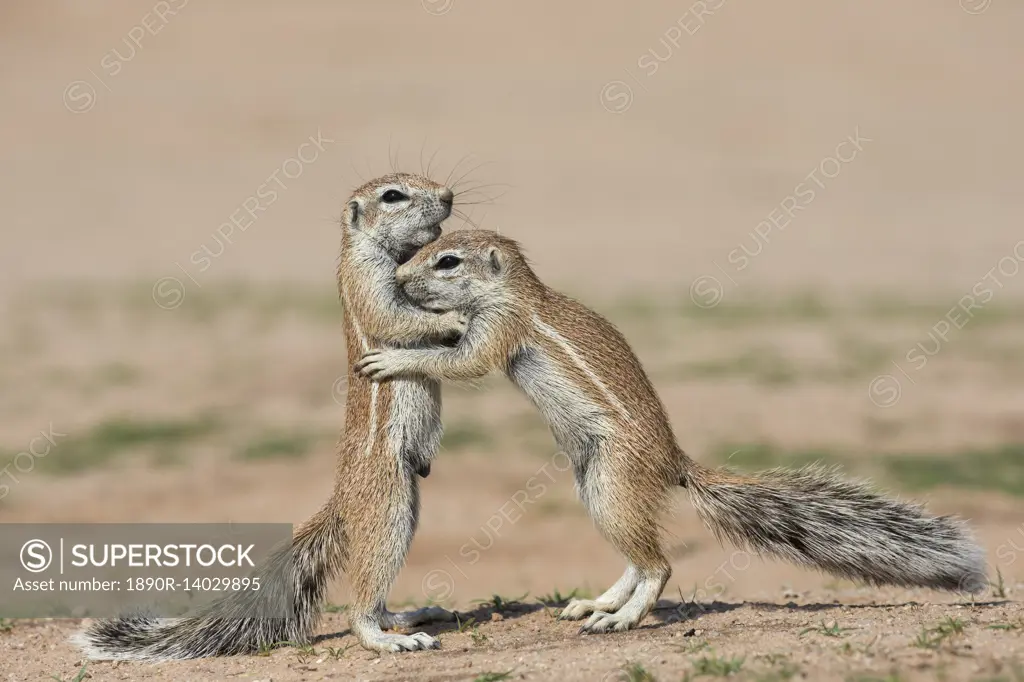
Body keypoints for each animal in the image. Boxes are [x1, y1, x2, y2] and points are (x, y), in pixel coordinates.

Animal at [74, 175, 466, 659]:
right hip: (388, 502)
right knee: (363, 599)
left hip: (406, 504)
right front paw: (455, 317)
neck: (375, 250)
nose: (448, 197)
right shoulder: (366, 280)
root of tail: (342, 501)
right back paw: (389, 639)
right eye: (393, 195)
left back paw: (410, 616)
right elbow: (393, 318)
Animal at [354, 228, 991, 630]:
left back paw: (622, 620)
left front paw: (393, 358)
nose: (401, 280)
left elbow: (464, 362)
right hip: (596, 485)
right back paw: (597, 605)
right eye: (427, 248)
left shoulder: (501, 328)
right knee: (639, 559)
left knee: (659, 566)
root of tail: (674, 463)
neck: (517, 292)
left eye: (447, 262)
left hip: (612, 482)